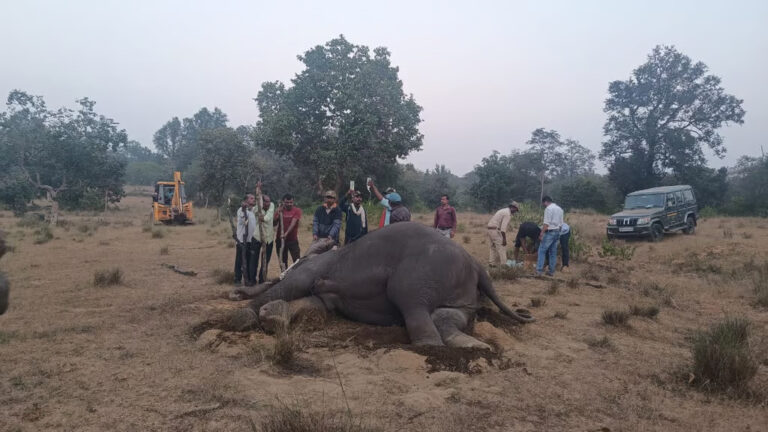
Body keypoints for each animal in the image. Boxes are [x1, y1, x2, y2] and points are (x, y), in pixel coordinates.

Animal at [230, 223, 536, 348]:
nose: (235, 293)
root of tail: (476, 263)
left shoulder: (314, 266)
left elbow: (297, 285)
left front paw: (244, 317)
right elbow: (314, 303)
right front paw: (270, 316)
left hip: (419, 273)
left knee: (410, 302)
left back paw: (431, 347)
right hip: (460, 291)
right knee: (445, 315)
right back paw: (476, 346)